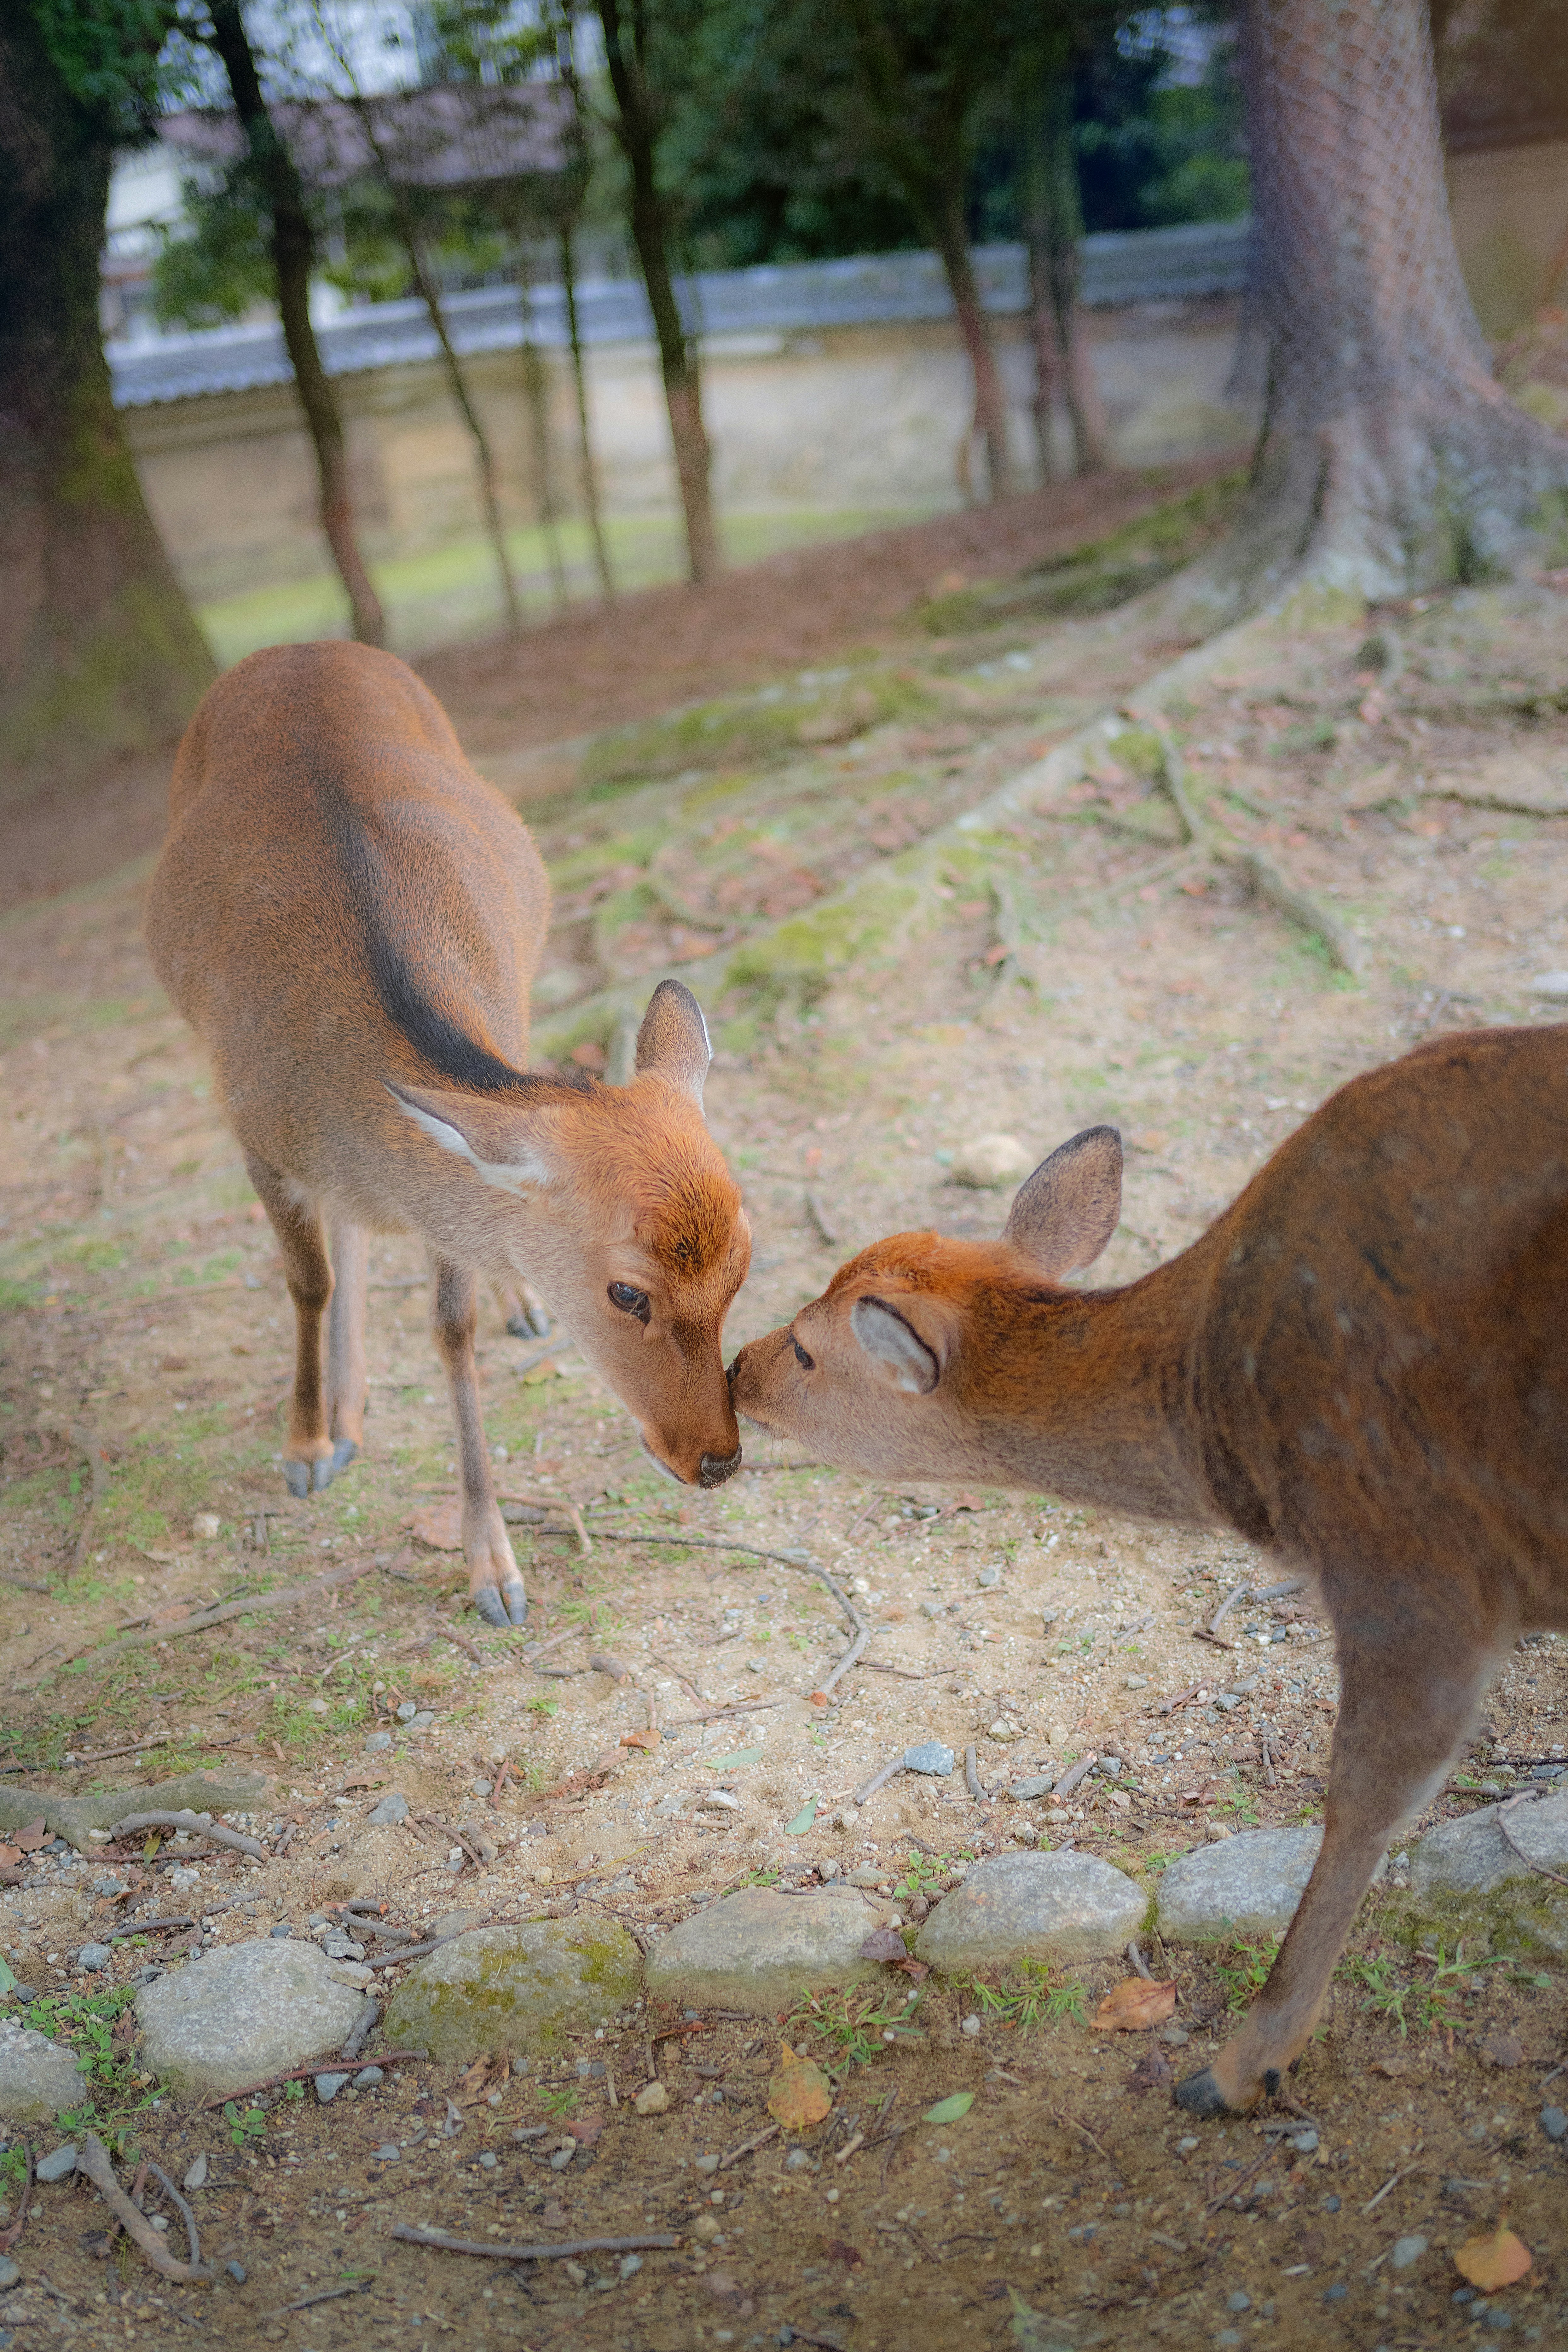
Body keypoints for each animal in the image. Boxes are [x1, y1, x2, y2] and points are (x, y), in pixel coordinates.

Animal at [146, 641, 751, 1629]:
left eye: (744, 1264)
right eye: (626, 1292)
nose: (718, 1459)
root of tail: (296, 647)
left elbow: (452, 1326)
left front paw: (492, 1568)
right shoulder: (254, 1135)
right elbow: (308, 1282)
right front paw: (306, 1445)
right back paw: (344, 1412)